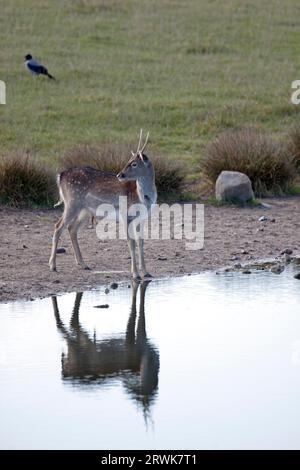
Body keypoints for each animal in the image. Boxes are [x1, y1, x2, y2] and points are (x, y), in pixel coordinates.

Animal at [49, 130, 157, 280]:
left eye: (134, 164)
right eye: (128, 161)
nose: (120, 175)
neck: (142, 197)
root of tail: (61, 176)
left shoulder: (142, 217)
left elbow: (141, 242)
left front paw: (146, 272)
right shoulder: (125, 214)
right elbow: (131, 242)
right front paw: (135, 274)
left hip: (84, 210)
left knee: (72, 228)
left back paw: (83, 264)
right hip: (72, 202)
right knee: (58, 226)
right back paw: (53, 266)